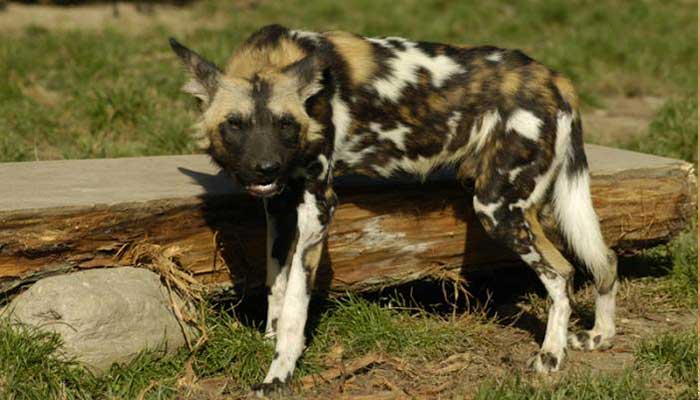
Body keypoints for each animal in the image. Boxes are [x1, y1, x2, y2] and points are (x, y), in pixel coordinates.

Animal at [170, 25, 616, 394]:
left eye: (285, 124)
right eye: (236, 124)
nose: (266, 167)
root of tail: (555, 79)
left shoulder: (317, 207)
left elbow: (296, 303)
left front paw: (279, 372)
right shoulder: (279, 205)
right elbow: (276, 285)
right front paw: (269, 340)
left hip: (497, 207)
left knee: (561, 273)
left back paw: (551, 355)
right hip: (516, 208)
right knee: (605, 260)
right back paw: (600, 335)